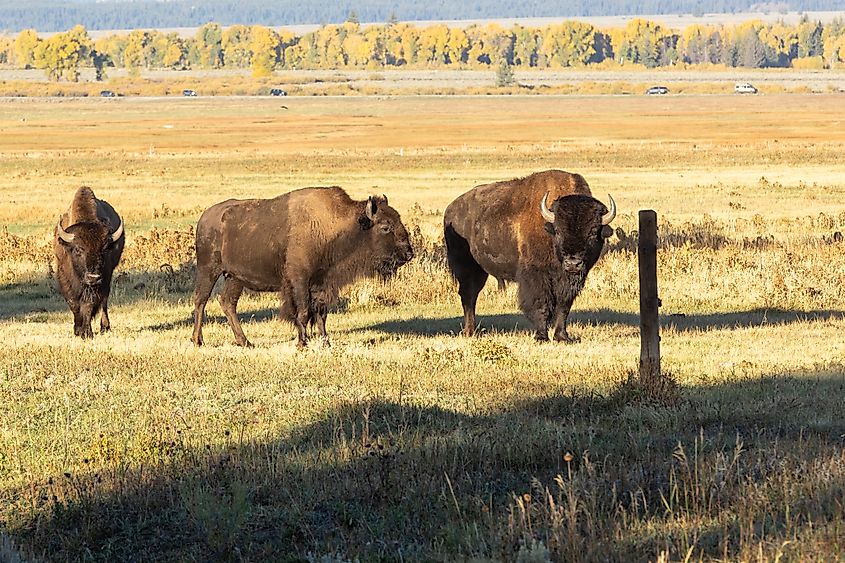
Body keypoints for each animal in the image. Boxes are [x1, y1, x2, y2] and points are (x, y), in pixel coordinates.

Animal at [53, 186, 125, 339]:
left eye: (105, 249)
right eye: (78, 249)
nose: (94, 277)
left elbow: (88, 304)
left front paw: (86, 333)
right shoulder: (64, 277)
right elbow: (74, 304)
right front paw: (78, 330)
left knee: (104, 301)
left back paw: (105, 327)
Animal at [192, 186, 414, 348]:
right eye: (385, 227)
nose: (409, 254)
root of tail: (206, 216)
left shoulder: (322, 282)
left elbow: (321, 314)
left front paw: (325, 342)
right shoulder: (299, 281)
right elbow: (304, 312)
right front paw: (302, 343)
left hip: (235, 278)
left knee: (228, 303)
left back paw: (245, 342)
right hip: (208, 269)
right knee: (201, 300)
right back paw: (198, 340)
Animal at [444, 169, 615, 342]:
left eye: (593, 231)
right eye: (558, 230)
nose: (573, 263)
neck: (548, 231)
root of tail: (450, 210)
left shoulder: (568, 281)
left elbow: (563, 306)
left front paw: (562, 336)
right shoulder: (536, 275)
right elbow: (541, 304)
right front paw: (541, 336)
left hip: (480, 271)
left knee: (471, 295)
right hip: (467, 268)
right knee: (468, 295)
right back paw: (469, 331)